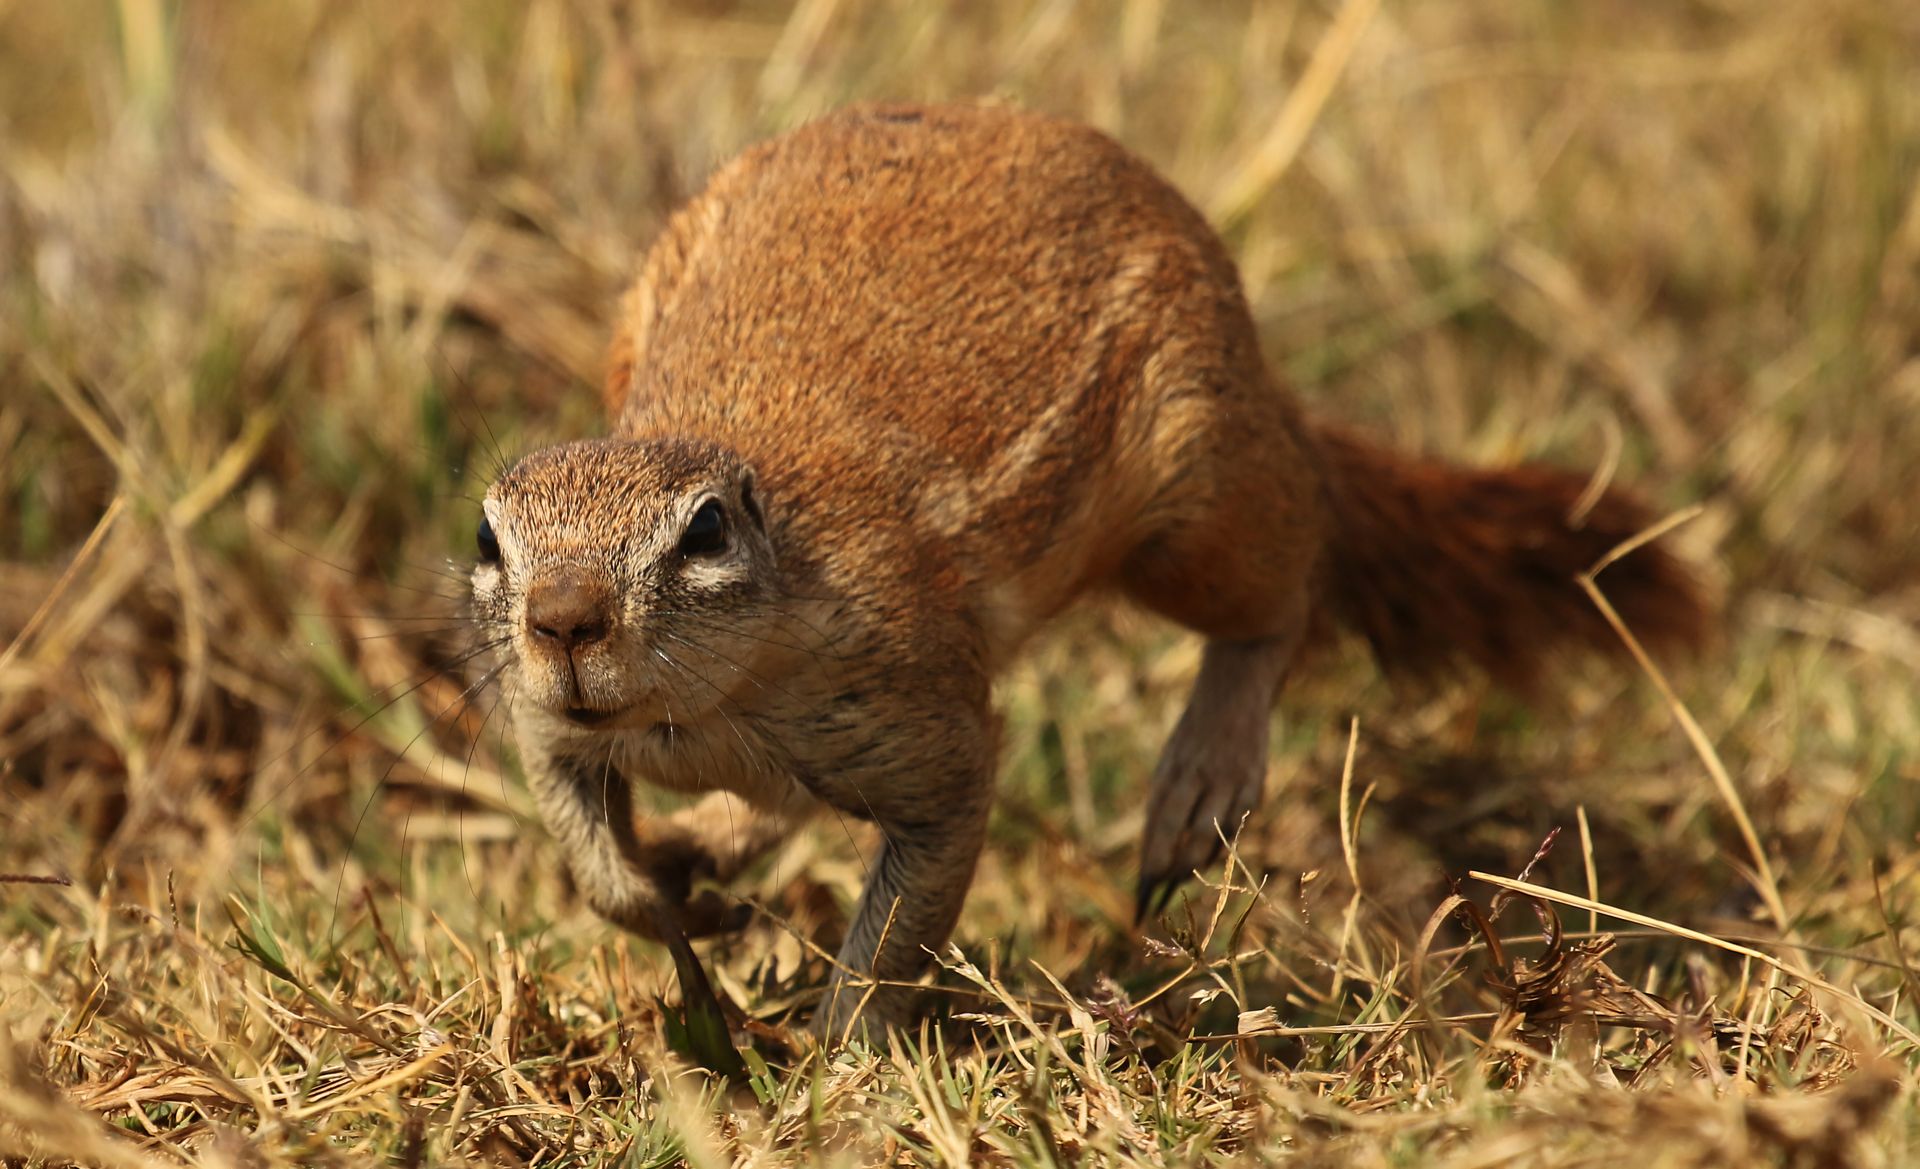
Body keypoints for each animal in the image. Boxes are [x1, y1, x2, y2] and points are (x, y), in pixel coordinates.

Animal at [470, 102, 1704, 1036]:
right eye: (489, 538)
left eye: (706, 532)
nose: (564, 619)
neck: (694, 716)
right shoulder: (545, 723)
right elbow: (587, 852)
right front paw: (665, 903)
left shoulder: (922, 719)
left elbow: (906, 917)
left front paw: (838, 1060)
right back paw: (705, 846)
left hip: (1199, 505)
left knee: (1287, 587)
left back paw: (1199, 782)